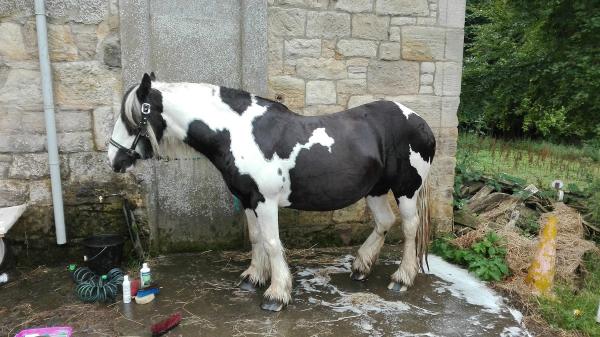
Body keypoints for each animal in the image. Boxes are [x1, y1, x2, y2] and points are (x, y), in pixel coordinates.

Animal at [109, 72, 436, 312]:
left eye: (132, 118)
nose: (114, 160)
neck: (238, 132)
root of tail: (420, 121)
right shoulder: (247, 199)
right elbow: (256, 239)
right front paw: (254, 277)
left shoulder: (265, 201)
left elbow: (271, 242)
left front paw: (276, 294)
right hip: (376, 189)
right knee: (384, 222)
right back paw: (361, 267)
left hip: (406, 189)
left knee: (409, 228)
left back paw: (402, 278)